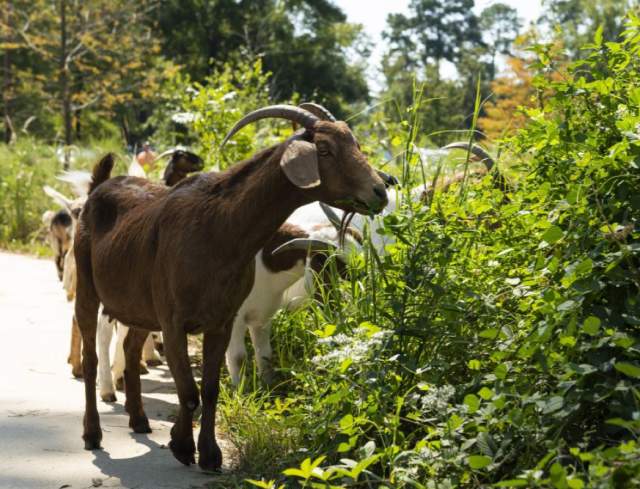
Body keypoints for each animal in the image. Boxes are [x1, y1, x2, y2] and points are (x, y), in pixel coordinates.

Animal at [73, 104, 388, 471]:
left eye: (356, 143)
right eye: (324, 149)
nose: (380, 190)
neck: (220, 228)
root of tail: (99, 186)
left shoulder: (221, 320)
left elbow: (210, 389)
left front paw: (209, 455)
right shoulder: (174, 322)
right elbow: (187, 390)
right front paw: (182, 446)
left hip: (140, 307)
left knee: (131, 348)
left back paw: (139, 420)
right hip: (88, 290)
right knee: (91, 356)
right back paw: (92, 433)